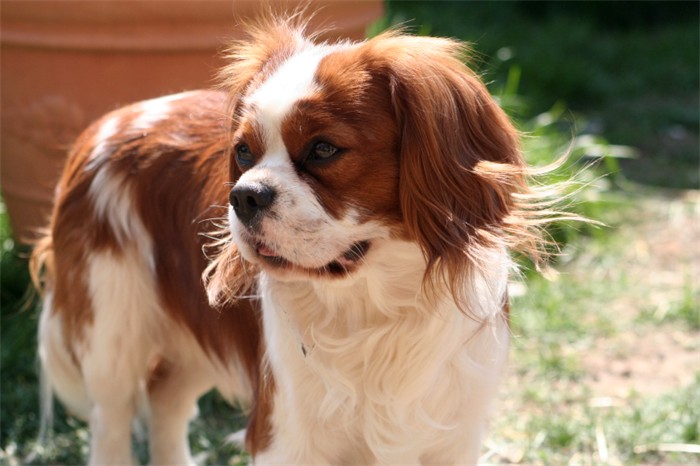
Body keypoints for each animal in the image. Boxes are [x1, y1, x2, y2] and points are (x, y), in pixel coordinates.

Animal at [32, 16, 556, 464]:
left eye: (323, 149)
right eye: (243, 152)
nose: (243, 196)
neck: (374, 308)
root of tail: (103, 124)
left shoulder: (453, 436)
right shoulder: (285, 433)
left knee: (166, 398)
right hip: (111, 335)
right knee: (112, 421)